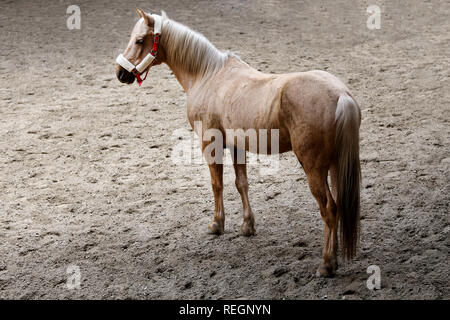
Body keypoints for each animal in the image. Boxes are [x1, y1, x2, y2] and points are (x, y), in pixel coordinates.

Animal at [116, 8, 362, 276]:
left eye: (140, 40)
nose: (120, 73)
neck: (208, 76)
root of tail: (341, 96)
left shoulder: (210, 144)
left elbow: (217, 184)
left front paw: (217, 224)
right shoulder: (236, 145)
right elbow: (241, 183)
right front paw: (247, 226)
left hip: (314, 167)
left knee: (328, 209)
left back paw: (326, 263)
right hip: (336, 165)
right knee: (338, 206)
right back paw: (334, 257)